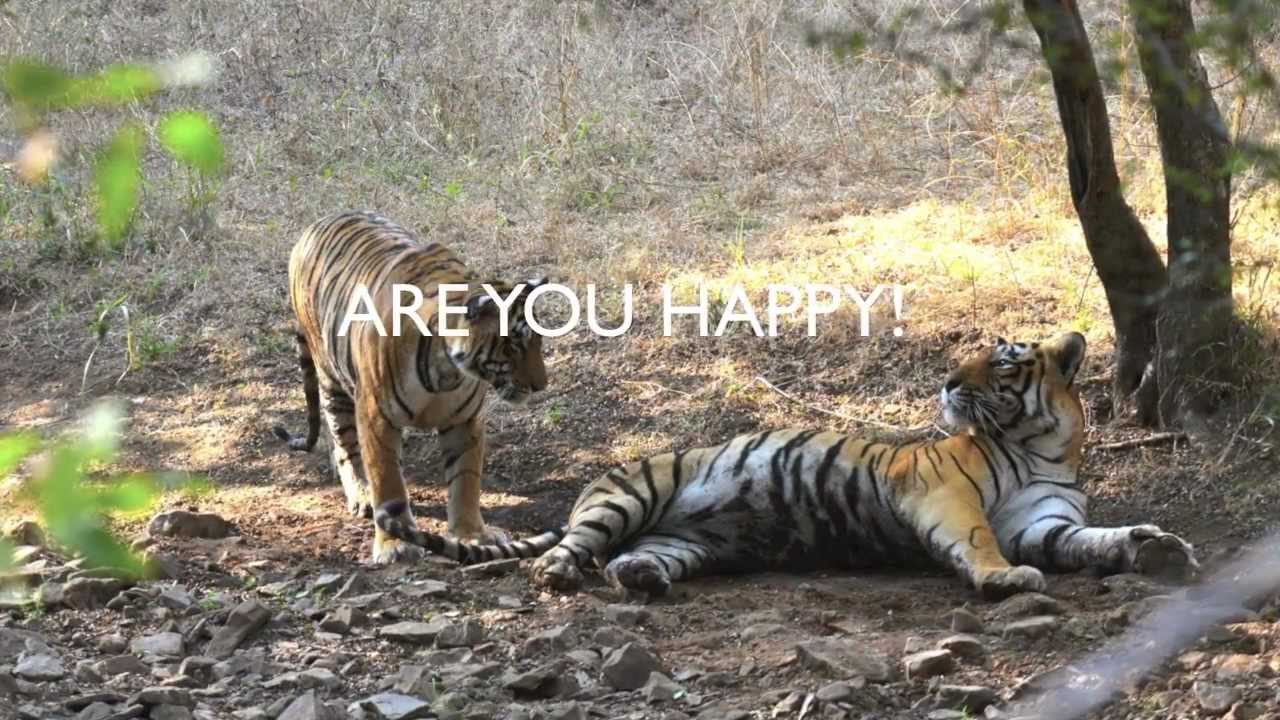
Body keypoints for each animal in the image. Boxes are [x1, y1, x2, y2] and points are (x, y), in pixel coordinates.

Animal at [272, 210, 549, 564]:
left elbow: (465, 481)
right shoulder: (376, 416)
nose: (541, 385)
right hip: (331, 378)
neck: (448, 371)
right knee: (344, 441)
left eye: (538, 341)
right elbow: (388, 483)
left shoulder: (465, 420)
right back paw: (361, 493)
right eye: (513, 345)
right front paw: (395, 544)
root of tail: (316, 223)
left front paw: (472, 535)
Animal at [375, 332, 1198, 599]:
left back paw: (639, 575)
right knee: (578, 543)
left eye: (1000, 363)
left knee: (635, 558)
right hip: (632, 492)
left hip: (680, 540)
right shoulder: (945, 493)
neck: (1040, 447)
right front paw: (1005, 579)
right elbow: (980, 540)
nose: (945, 381)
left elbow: (1088, 541)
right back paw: (558, 571)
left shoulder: (1045, 523)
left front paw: (1152, 546)